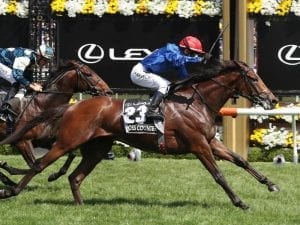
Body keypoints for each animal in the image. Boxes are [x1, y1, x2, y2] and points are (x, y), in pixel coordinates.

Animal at [0, 59, 278, 209]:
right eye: (253, 77)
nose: (272, 99)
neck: (196, 102)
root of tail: (73, 106)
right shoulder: (199, 145)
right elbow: (219, 175)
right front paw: (240, 202)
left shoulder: (210, 141)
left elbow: (240, 160)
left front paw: (271, 184)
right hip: (67, 140)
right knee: (38, 165)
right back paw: (10, 190)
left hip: (97, 148)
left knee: (75, 177)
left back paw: (80, 206)